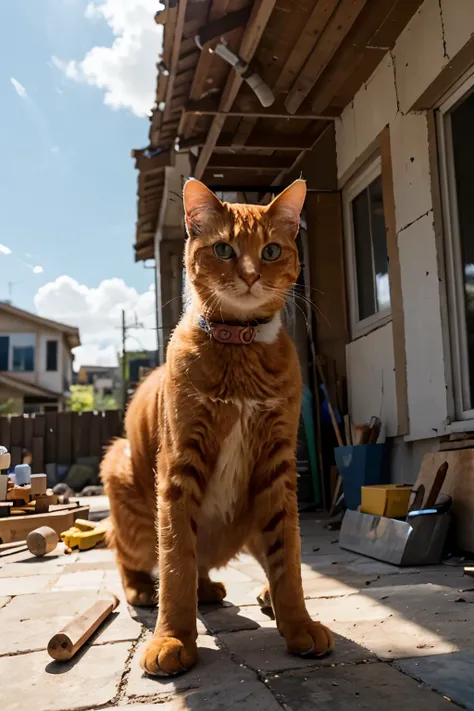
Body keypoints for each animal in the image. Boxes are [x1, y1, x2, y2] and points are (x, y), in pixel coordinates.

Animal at [102, 179, 336, 680]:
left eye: (270, 250)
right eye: (224, 249)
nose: (249, 275)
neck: (240, 348)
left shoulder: (277, 466)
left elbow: (288, 557)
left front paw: (298, 623)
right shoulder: (179, 466)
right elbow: (176, 560)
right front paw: (172, 638)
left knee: (232, 561)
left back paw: (237, 592)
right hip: (122, 477)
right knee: (128, 553)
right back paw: (143, 590)